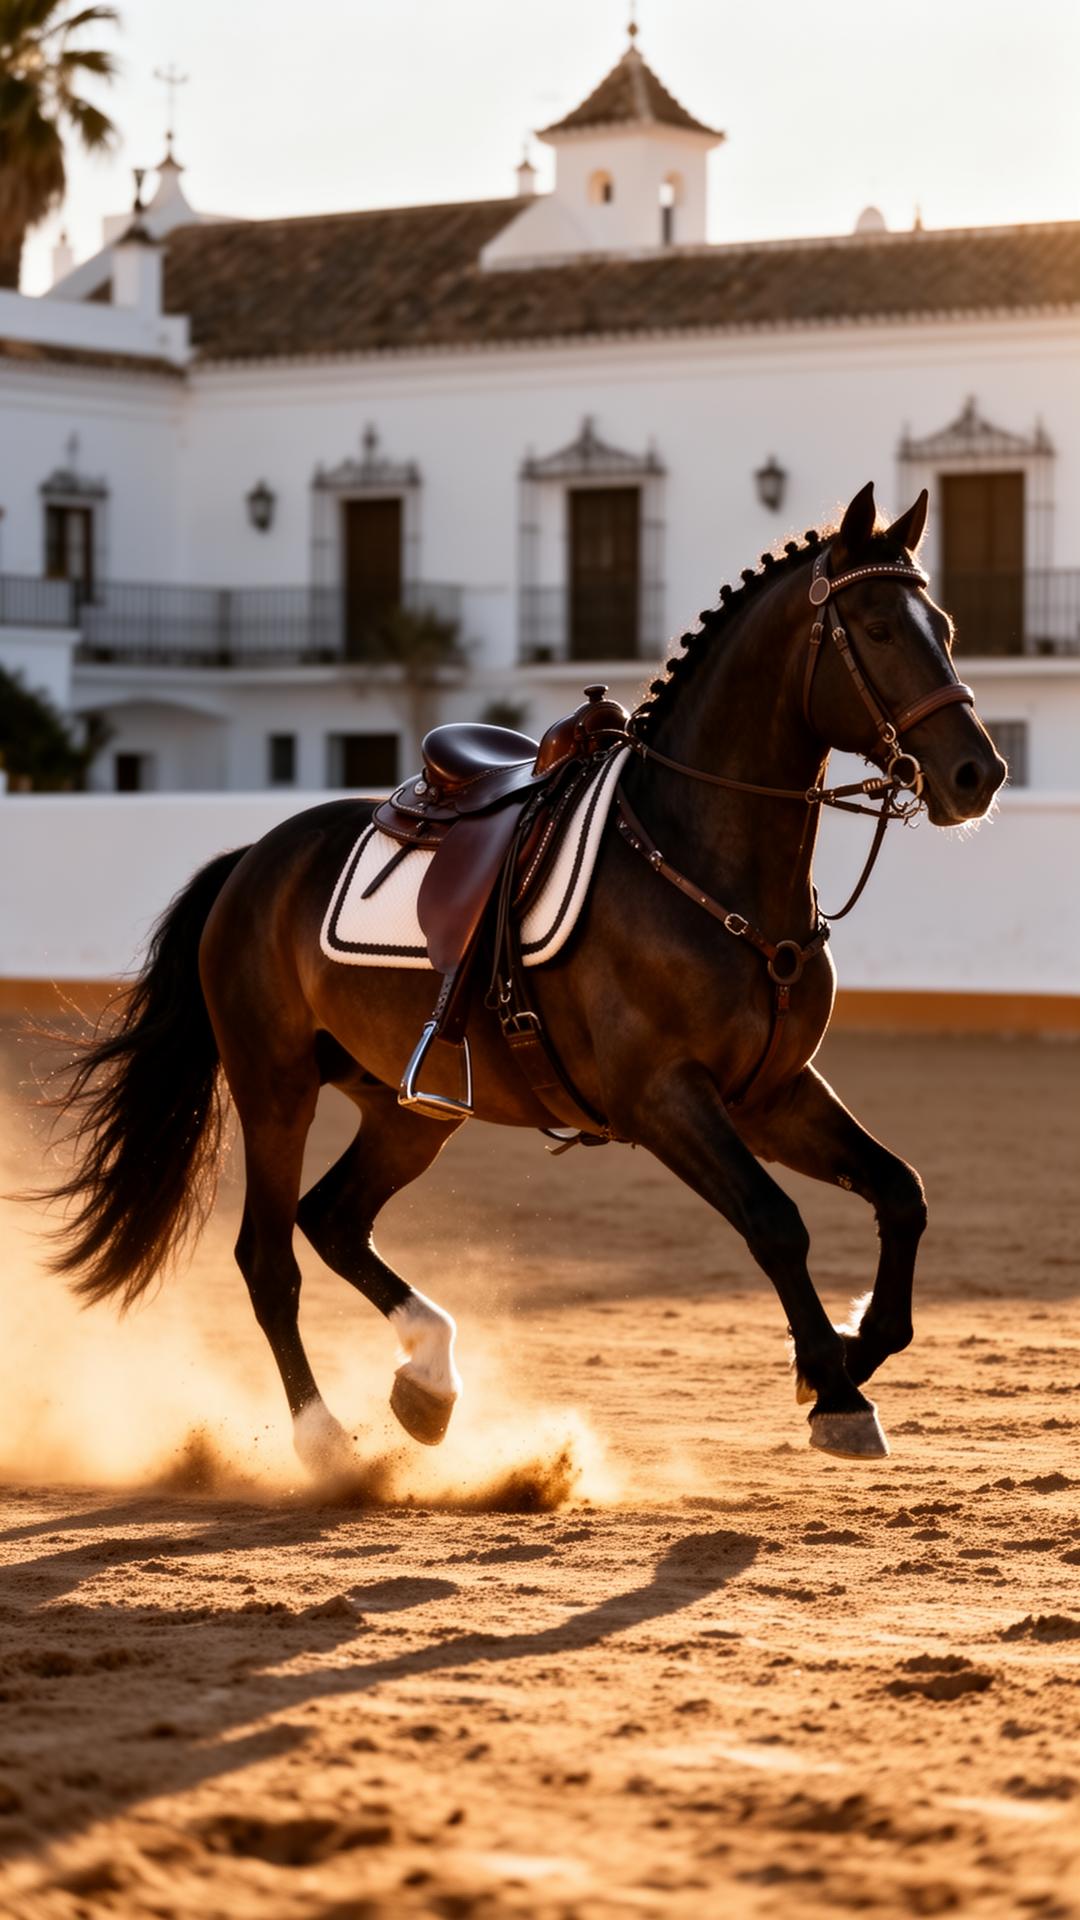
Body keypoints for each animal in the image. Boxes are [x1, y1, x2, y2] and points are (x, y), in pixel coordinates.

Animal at [38, 482, 1006, 1468]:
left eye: (945, 626)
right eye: (878, 628)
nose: (979, 773)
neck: (701, 862)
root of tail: (253, 859)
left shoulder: (770, 1093)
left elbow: (902, 1191)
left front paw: (848, 1351)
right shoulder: (664, 1098)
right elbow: (776, 1222)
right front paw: (835, 1389)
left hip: (409, 1109)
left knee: (335, 1218)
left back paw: (428, 1379)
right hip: (276, 1089)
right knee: (269, 1258)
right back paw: (325, 1441)